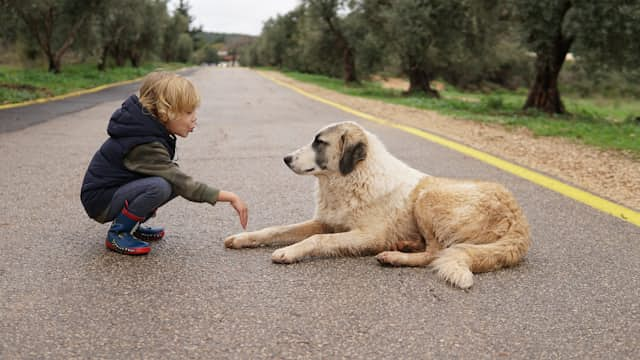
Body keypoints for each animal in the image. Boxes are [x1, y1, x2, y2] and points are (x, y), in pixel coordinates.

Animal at [225, 122, 528, 288]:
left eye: (319, 142)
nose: (286, 158)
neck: (350, 179)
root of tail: (519, 217)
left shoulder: (366, 235)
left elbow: (318, 240)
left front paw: (289, 252)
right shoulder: (325, 221)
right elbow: (276, 229)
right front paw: (243, 237)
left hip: (427, 198)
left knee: (436, 253)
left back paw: (395, 256)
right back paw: (404, 246)